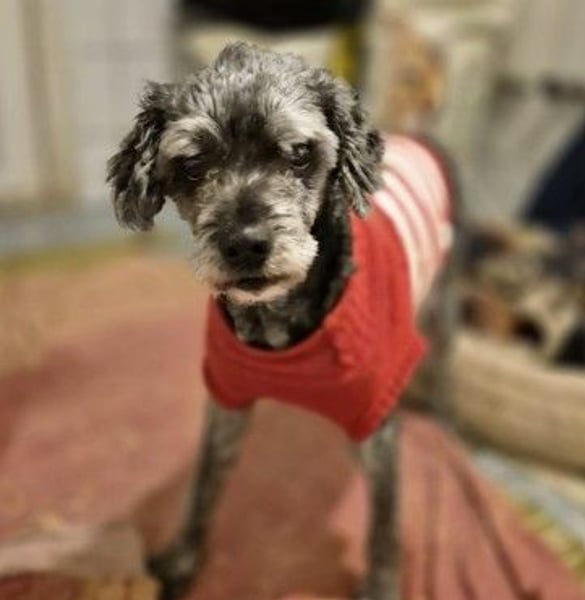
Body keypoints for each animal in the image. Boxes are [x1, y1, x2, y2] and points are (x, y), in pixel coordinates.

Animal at [107, 42, 455, 600]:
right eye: (192, 164)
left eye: (298, 152)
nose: (245, 244)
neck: (278, 323)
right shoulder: (225, 401)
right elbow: (203, 486)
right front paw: (182, 559)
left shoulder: (377, 429)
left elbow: (385, 527)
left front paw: (381, 587)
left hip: (442, 305)